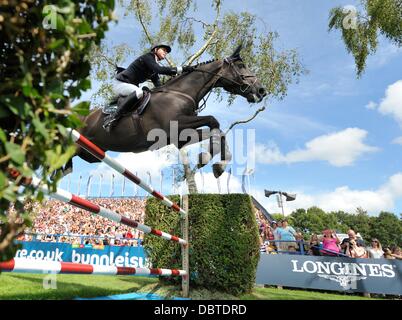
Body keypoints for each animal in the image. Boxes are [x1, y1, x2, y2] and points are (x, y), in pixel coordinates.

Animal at [67, 45, 266, 178]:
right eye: (241, 66)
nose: (261, 90)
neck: (180, 93)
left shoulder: (179, 136)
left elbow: (217, 130)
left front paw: (217, 164)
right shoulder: (174, 125)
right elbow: (213, 120)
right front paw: (208, 158)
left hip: (89, 154)